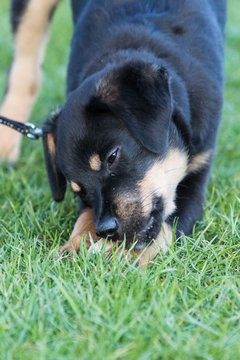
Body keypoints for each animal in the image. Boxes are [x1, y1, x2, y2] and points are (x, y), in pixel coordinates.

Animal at [0, 0, 226, 264]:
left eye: (112, 157)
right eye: (79, 189)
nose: (106, 230)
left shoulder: (199, 167)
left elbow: (165, 225)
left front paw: (118, 254)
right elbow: (86, 215)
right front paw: (76, 245)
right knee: (25, 69)